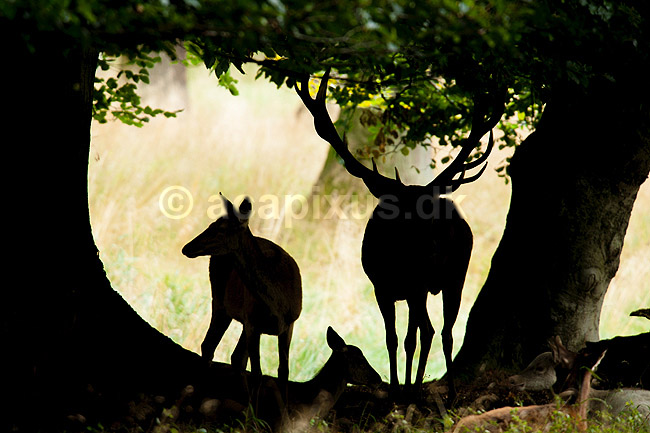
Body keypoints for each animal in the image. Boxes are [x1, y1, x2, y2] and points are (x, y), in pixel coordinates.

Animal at [182, 193, 302, 403]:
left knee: (236, 356)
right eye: (211, 224)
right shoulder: (253, 322)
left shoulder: (289, 323)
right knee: (210, 344)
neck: (278, 305)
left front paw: (284, 412)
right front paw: (252, 412)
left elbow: (283, 371)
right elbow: (257, 373)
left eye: (220, 229)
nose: (187, 247)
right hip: (220, 301)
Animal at [296, 69, 503, 400]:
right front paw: (396, 386)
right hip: (431, 284)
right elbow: (392, 337)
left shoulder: (411, 285)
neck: (396, 264)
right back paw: (428, 388)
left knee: (439, 331)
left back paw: (437, 389)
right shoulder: (382, 287)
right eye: (401, 211)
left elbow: (407, 338)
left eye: (427, 209)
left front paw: (401, 390)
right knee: (433, 331)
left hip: (454, 276)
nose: (432, 246)